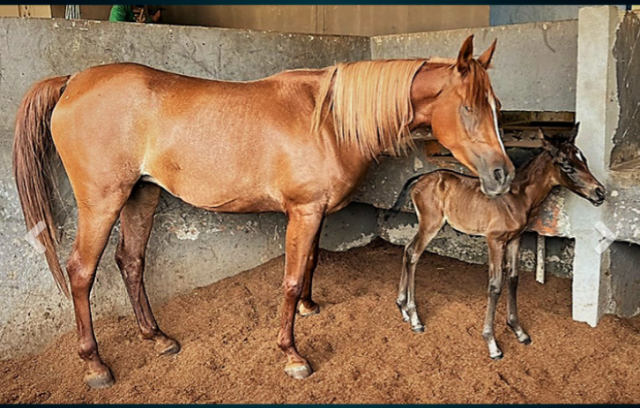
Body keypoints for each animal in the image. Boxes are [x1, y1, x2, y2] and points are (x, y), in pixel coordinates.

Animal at [12, 33, 512, 388]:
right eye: (467, 108)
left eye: (497, 106)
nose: (502, 174)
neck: (328, 120)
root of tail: (73, 81)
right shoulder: (304, 212)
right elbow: (289, 280)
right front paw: (292, 355)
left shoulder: (316, 212)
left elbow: (310, 264)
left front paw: (309, 306)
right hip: (103, 200)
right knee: (81, 272)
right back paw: (95, 365)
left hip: (141, 195)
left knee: (130, 262)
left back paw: (158, 339)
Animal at [390, 125, 604, 360]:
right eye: (567, 165)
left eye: (584, 160)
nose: (600, 192)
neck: (517, 197)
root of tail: (419, 179)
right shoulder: (494, 239)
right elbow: (495, 285)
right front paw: (492, 343)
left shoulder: (515, 239)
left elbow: (513, 278)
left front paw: (519, 331)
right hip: (431, 224)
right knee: (414, 255)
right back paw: (415, 318)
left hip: (426, 225)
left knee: (407, 249)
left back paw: (402, 308)